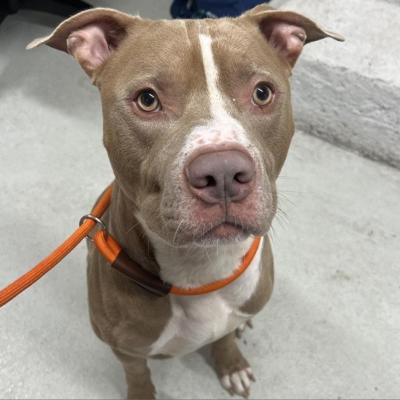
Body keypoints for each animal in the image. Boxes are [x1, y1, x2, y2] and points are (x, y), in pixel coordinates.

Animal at [28, 4, 344, 398]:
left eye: (262, 93)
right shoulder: (126, 349)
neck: (201, 270)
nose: (223, 173)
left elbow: (224, 338)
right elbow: (137, 374)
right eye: (147, 100)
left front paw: (231, 363)